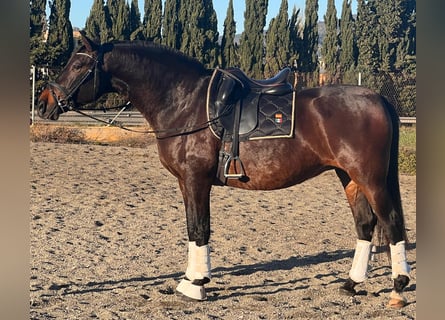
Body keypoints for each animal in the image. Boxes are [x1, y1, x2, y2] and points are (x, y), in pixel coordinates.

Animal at [38, 32, 410, 308]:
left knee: (391, 222)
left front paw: (196, 285)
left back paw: (397, 288)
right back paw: (351, 283)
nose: (44, 103)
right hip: (348, 176)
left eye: (78, 64)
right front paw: (192, 280)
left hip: (371, 178)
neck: (185, 102)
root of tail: (377, 98)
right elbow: (192, 228)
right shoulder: (186, 183)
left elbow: (200, 228)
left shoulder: (195, 180)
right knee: (365, 224)